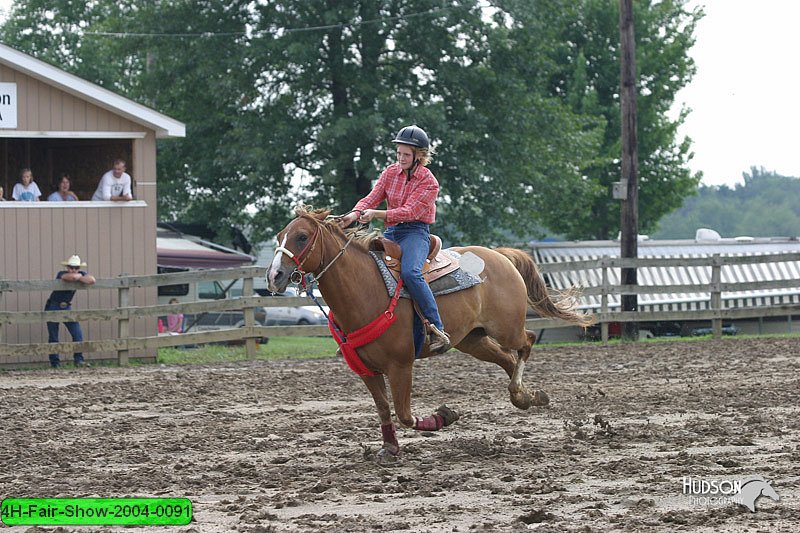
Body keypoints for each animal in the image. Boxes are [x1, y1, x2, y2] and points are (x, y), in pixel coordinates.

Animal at [268, 206, 592, 460]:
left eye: (302, 236)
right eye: (280, 235)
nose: (274, 276)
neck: (366, 289)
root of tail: (500, 255)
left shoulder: (401, 365)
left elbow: (405, 415)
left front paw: (445, 416)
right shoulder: (365, 370)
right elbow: (384, 408)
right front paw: (389, 448)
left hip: (506, 328)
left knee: (527, 342)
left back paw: (521, 394)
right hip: (473, 340)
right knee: (507, 360)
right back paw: (528, 397)